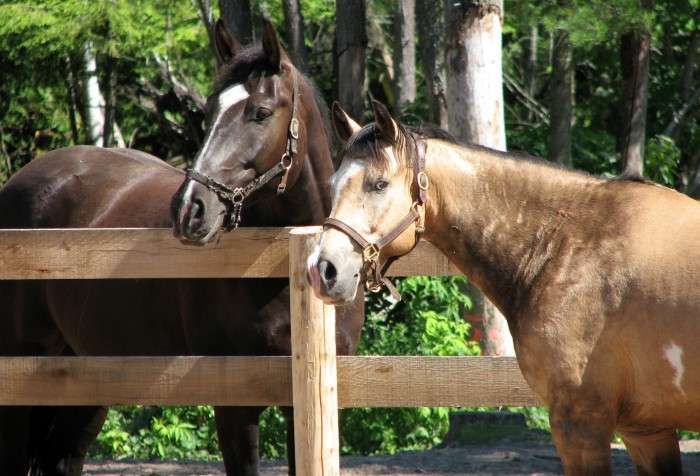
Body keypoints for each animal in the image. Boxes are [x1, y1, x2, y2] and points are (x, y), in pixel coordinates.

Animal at [0, 20, 364, 476]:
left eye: (261, 113)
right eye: (207, 113)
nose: (190, 208)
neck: (288, 270)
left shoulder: (305, 410)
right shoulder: (235, 407)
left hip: (85, 376)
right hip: (21, 372)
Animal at [309, 99, 700, 476]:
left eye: (379, 184)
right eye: (333, 183)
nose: (322, 269)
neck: (570, 242)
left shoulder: (581, 422)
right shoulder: (646, 431)